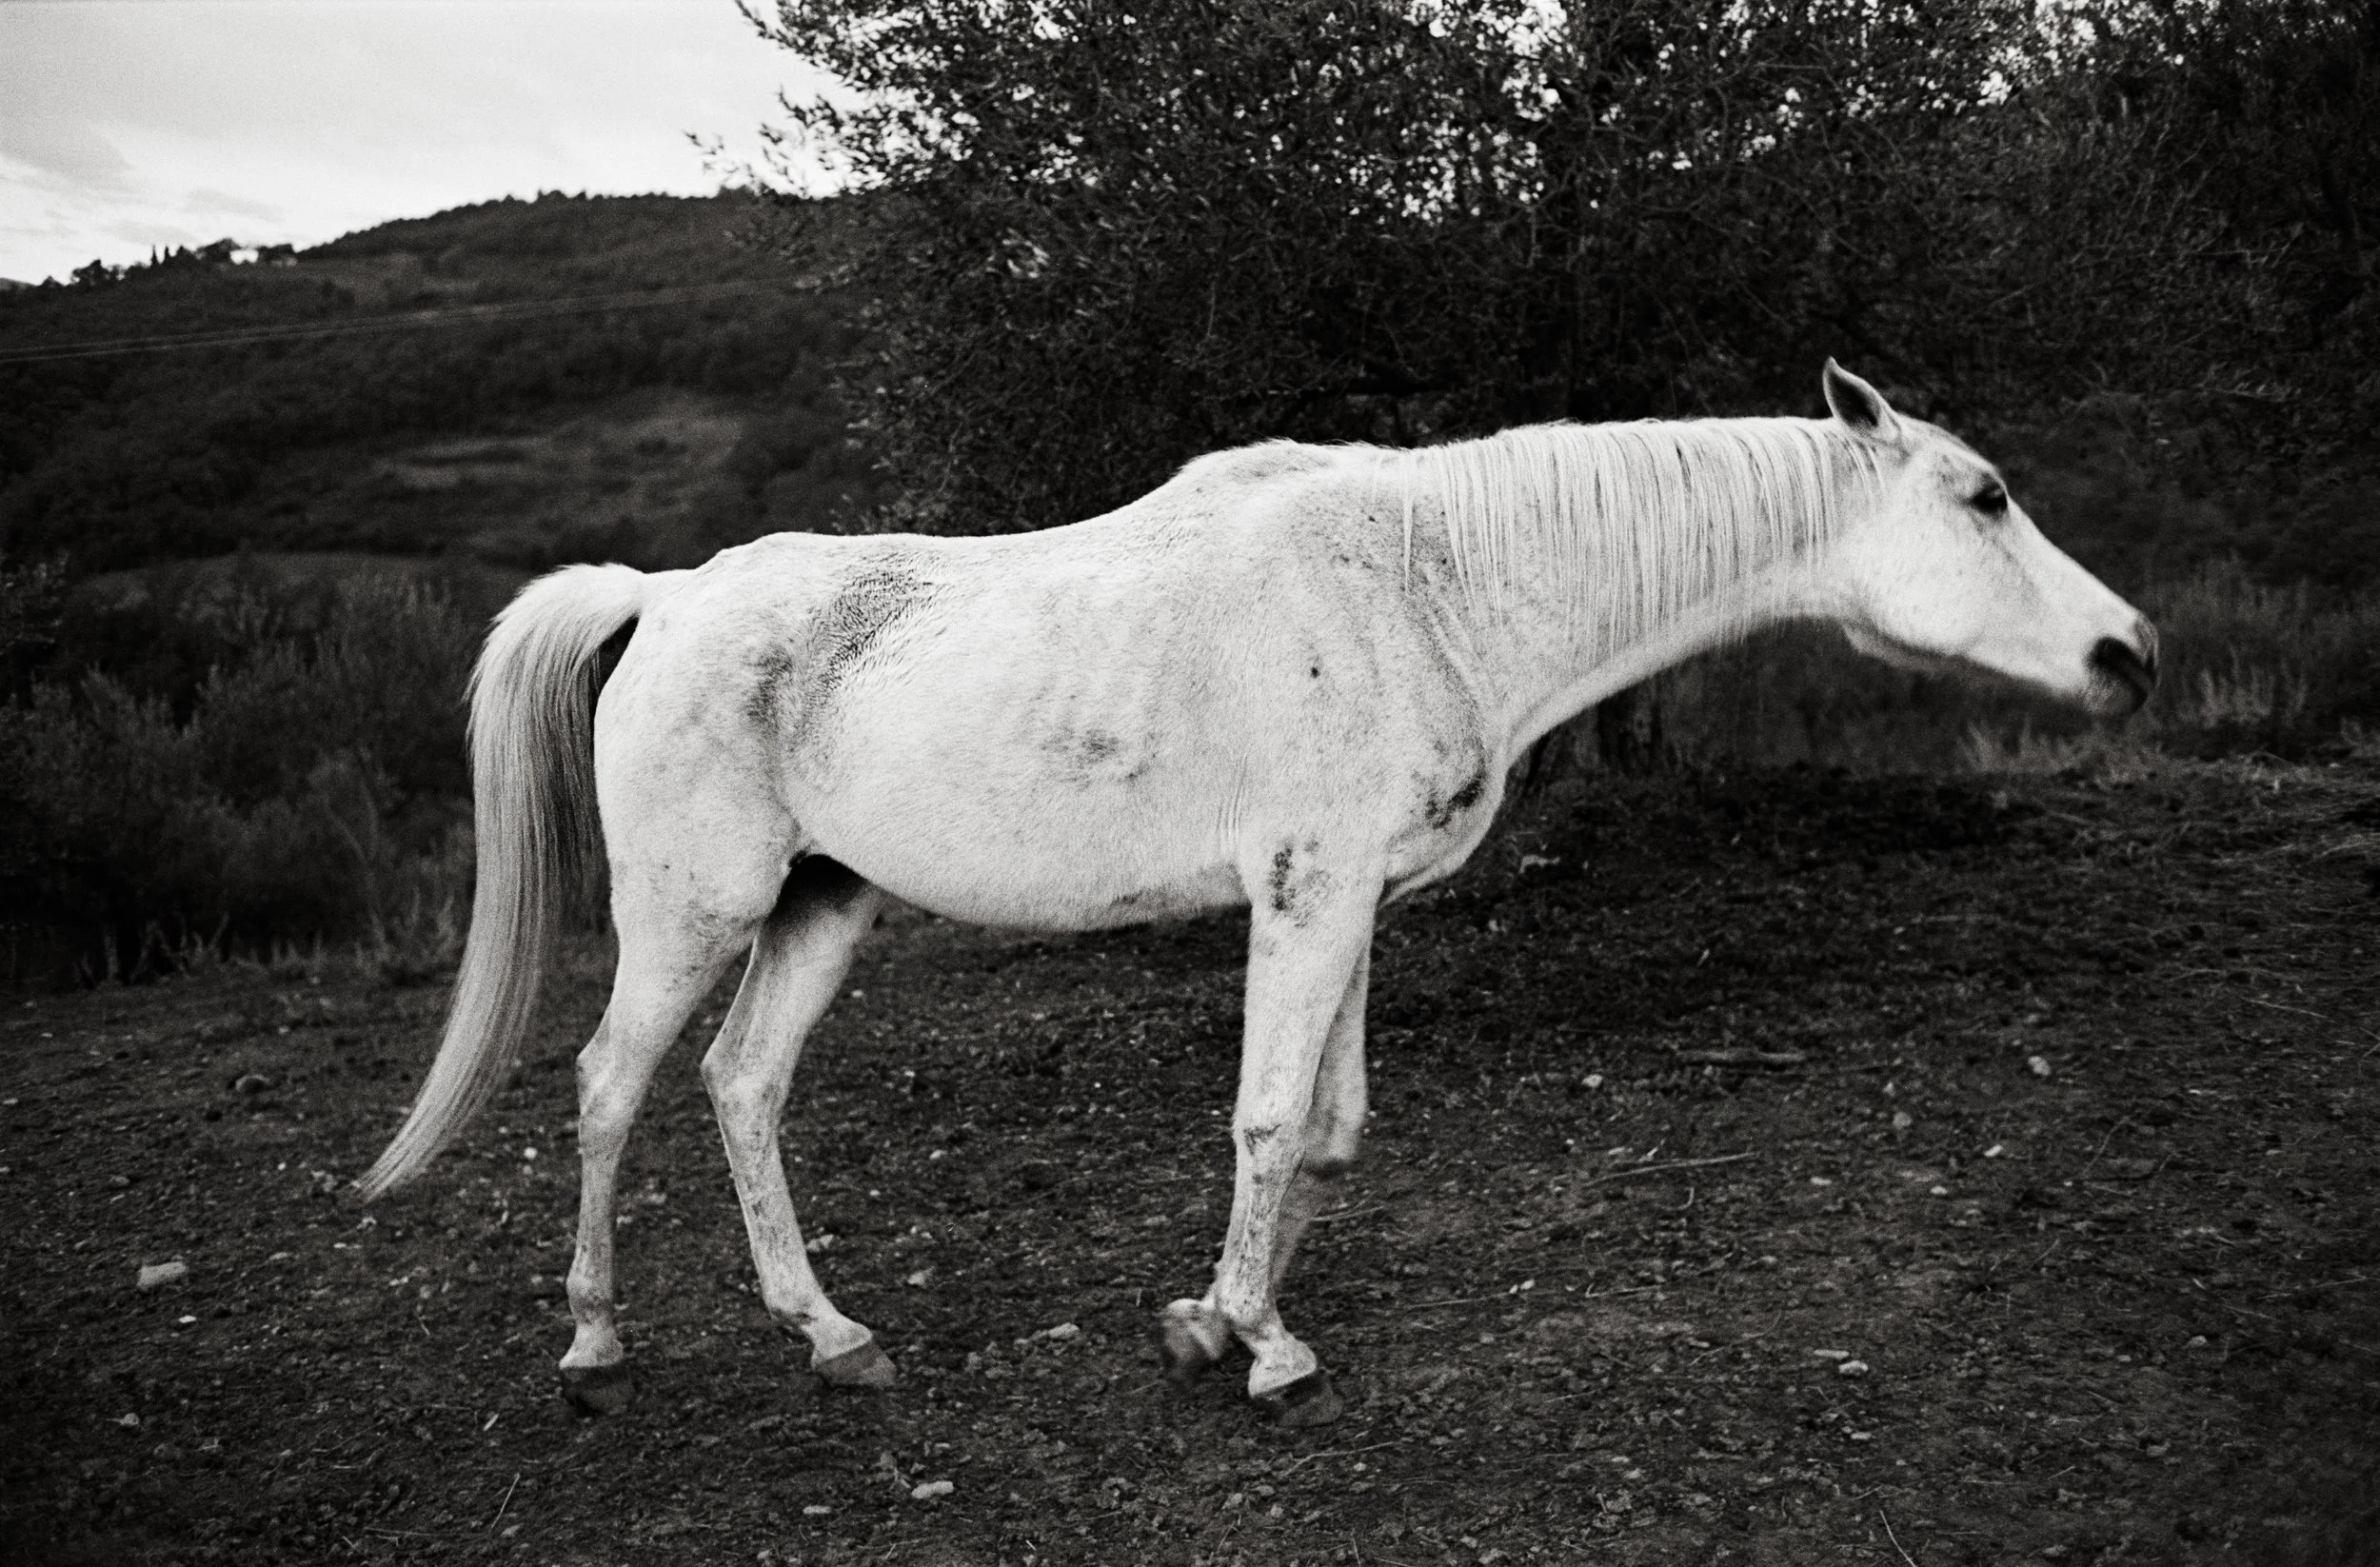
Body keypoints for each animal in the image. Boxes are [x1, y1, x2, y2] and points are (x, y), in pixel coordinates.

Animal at [356, 362, 2156, 1427]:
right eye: (1983, 495)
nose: (2130, 652)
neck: (1430, 582)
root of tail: (661, 598)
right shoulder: (1302, 892)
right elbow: (1271, 1115)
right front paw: (1258, 1342)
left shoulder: (1351, 902)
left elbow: (1332, 1127)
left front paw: (1220, 1314)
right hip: (697, 911)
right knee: (611, 1083)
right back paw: (596, 1336)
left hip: (822, 905)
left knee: (740, 1085)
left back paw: (833, 1331)